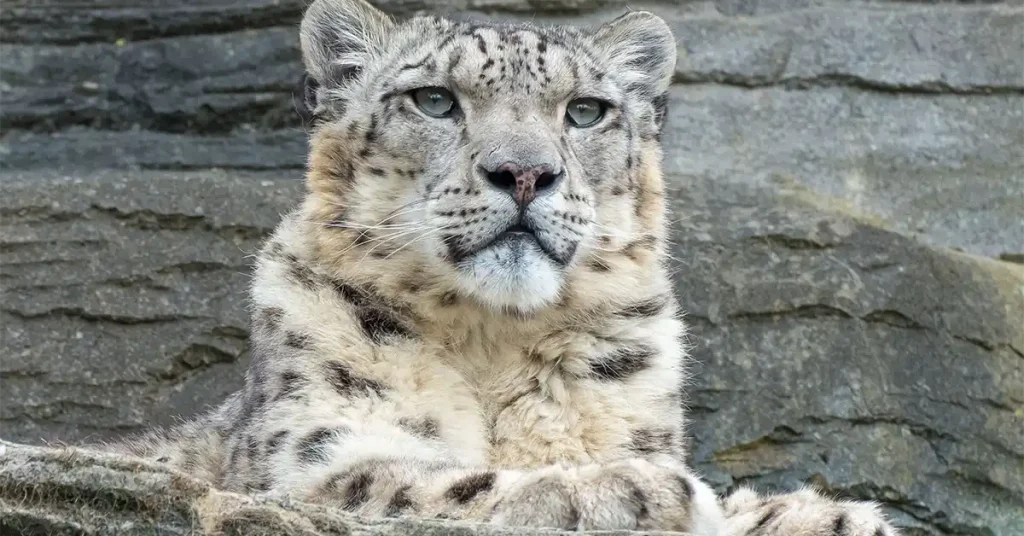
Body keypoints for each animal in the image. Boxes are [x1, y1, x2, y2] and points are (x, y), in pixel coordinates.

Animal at [104, 1, 901, 534]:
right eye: (434, 99)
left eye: (586, 111)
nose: (524, 173)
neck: (494, 340)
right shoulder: (309, 456)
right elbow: (428, 484)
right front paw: (639, 491)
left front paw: (821, 516)